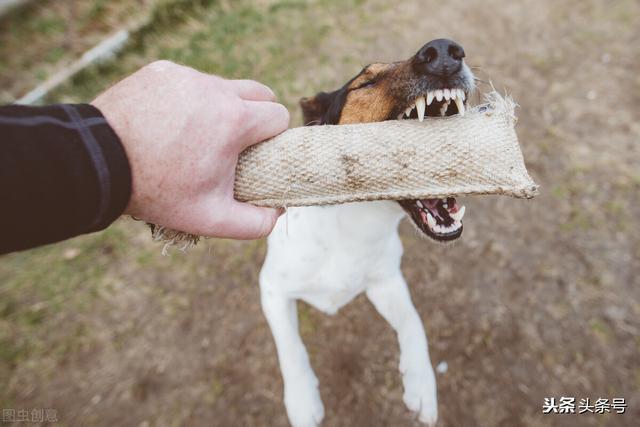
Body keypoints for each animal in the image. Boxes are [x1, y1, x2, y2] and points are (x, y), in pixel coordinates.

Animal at [260, 38, 476, 426]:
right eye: (366, 83)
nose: (443, 52)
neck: (355, 223)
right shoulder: (271, 289)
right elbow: (291, 347)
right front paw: (302, 401)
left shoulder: (385, 281)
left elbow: (413, 321)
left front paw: (422, 383)